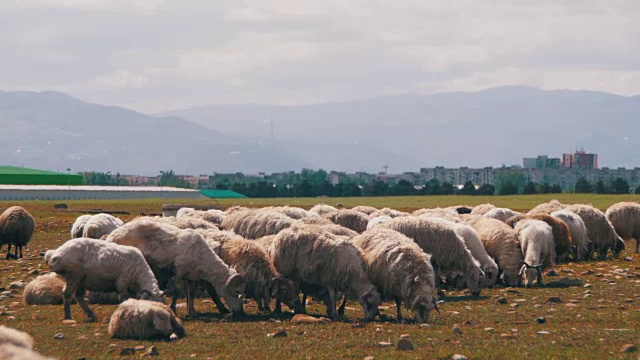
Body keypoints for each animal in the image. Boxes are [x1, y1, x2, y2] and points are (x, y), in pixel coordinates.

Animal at [106, 219, 246, 318]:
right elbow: (177, 290)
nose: (240, 312)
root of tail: (111, 235)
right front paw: (173, 308)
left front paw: (192, 312)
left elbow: (191, 293)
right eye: (237, 291)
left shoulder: (191, 276)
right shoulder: (178, 271)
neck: (202, 257)